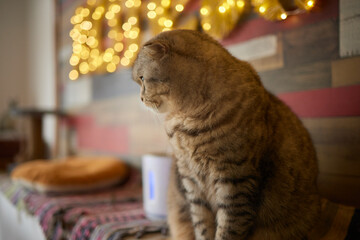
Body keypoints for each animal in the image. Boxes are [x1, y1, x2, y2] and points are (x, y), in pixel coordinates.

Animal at [132, 29, 320, 240]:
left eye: (142, 79)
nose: (141, 98)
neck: (188, 119)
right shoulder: (191, 182)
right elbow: (202, 225)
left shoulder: (235, 179)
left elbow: (228, 228)